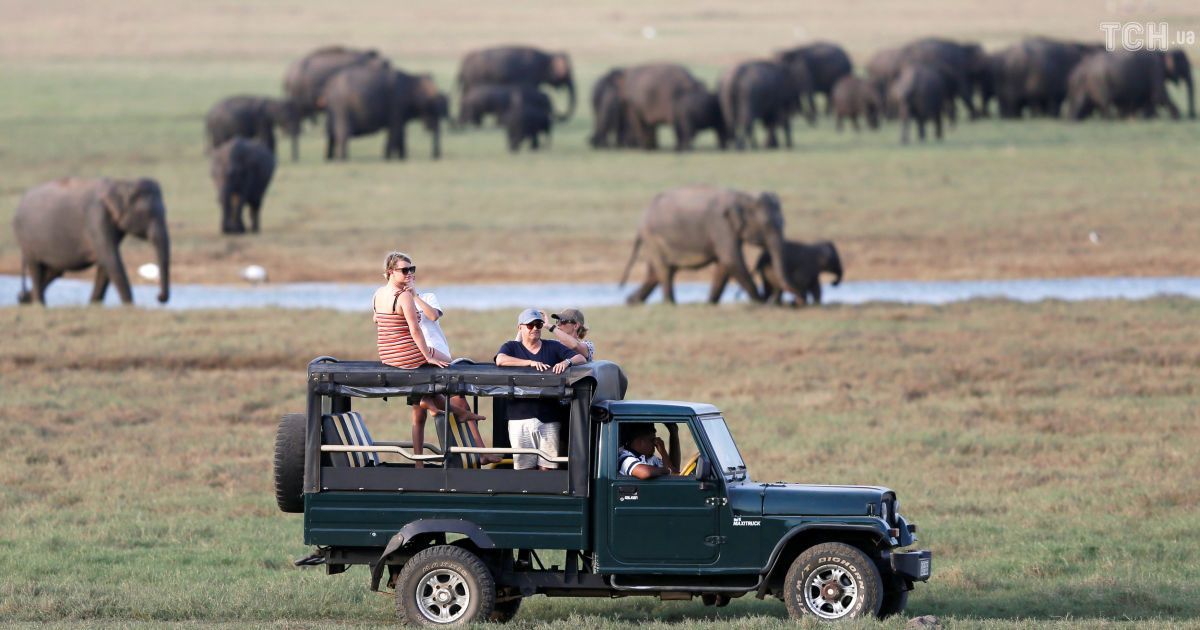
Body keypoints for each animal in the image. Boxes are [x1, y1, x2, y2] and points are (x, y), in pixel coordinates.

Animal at [12, 177, 170, 306]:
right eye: (147, 213)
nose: (159, 297)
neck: (123, 184)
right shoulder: (96, 218)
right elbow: (111, 259)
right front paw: (129, 306)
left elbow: (105, 262)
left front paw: (94, 304)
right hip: (25, 237)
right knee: (36, 268)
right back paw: (38, 304)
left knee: (55, 270)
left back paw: (25, 299)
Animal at [618, 185, 808, 305]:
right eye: (767, 225)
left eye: (783, 223)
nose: (799, 300)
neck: (742, 196)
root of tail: (641, 222)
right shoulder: (721, 226)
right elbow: (731, 259)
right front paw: (759, 301)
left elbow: (724, 264)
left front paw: (710, 302)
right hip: (654, 238)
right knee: (665, 271)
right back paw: (669, 303)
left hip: (655, 241)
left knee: (655, 272)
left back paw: (631, 301)